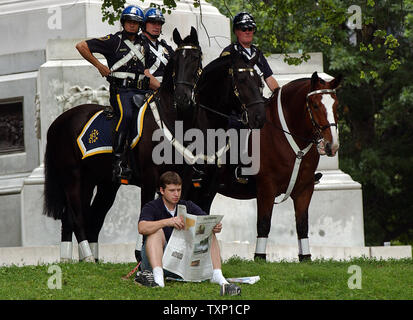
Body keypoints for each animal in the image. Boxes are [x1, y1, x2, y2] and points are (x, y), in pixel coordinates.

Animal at [187, 72, 342, 262]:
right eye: (315, 105)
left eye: (336, 105)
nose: (332, 145)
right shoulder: (267, 187)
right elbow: (264, 223)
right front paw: (259, 256)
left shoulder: (305, 188)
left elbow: (302, 225)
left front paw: (305, 257)